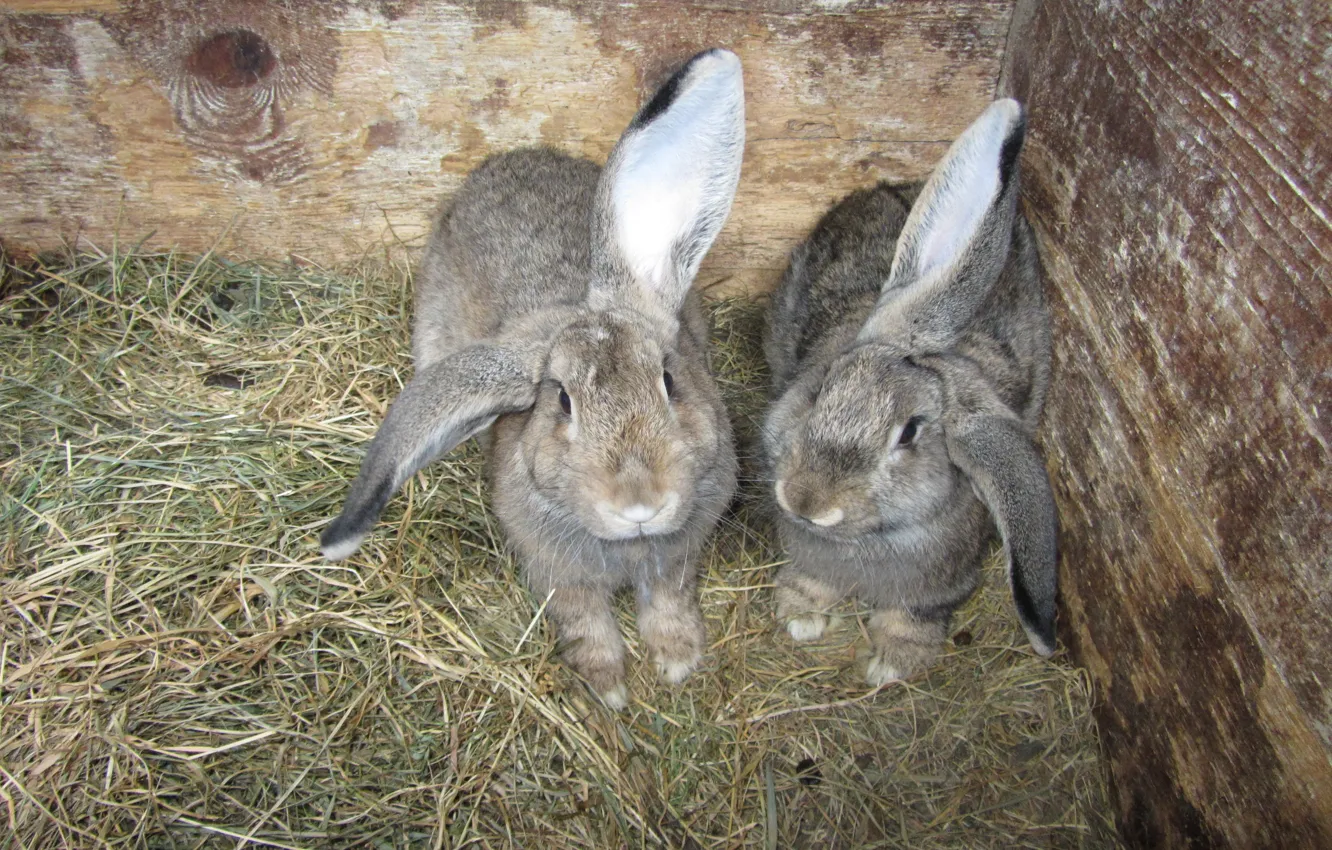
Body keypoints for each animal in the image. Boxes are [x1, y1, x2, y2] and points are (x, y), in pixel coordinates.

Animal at [320, 49, 744, 710]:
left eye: (669, 380)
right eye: (563, 402)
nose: (641, 503)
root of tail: (510, 156)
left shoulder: (677, 561)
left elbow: (669, 605)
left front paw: (677, 661)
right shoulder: (556, 574)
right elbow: (584, 622)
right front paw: (607, 689)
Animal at [761, 98, 1058, 685]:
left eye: (910, 434)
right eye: (821, 389)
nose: (806, 500)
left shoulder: (939, 587)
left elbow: (913, 615)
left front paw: (893, 663)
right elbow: (811, 582)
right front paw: (801, 616)